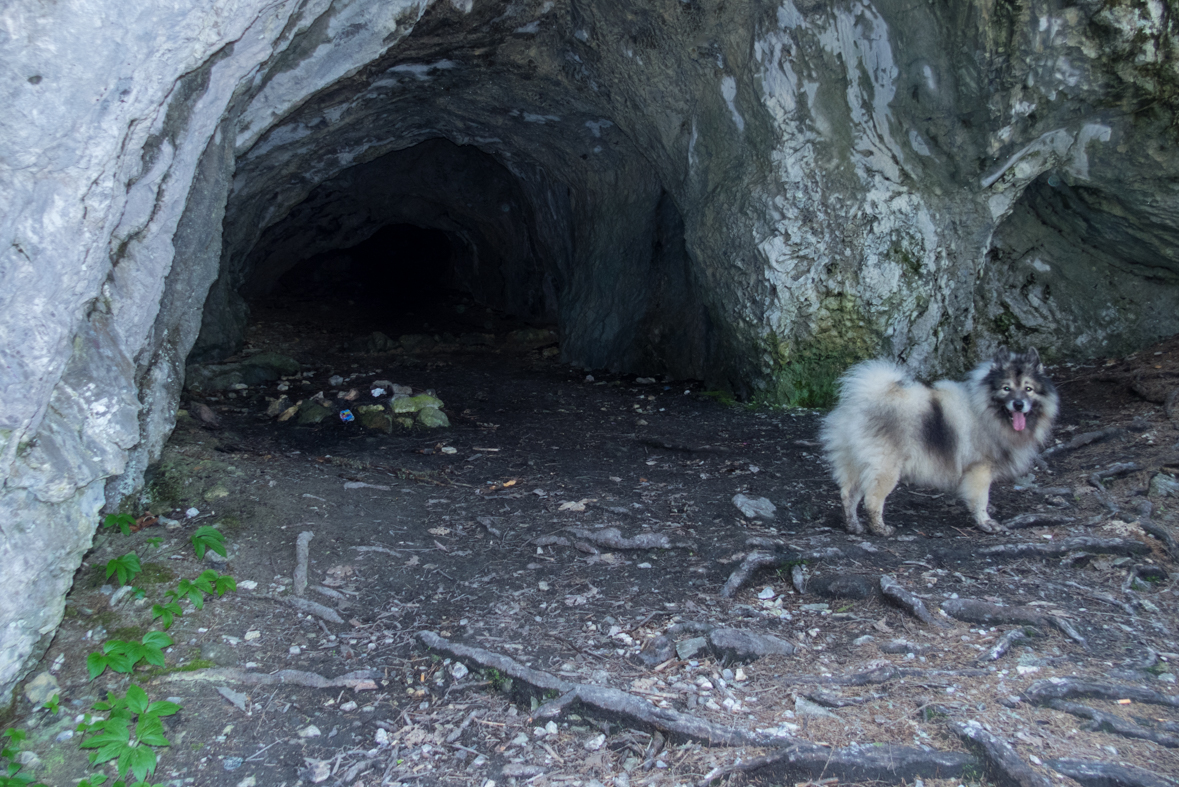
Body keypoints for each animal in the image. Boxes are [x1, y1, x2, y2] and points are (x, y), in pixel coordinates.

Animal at [820, 348, 1061, 537]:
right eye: (1006, 388)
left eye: (1028, 389)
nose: (1019, 404)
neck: (986, 410)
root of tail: (863, 400)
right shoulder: (980, 469)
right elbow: (981, 499)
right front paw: (986, 523)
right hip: (886, 468)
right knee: (872, 500)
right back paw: (880, 529)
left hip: (855, 463)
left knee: (848, 495)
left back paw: (854, 527)